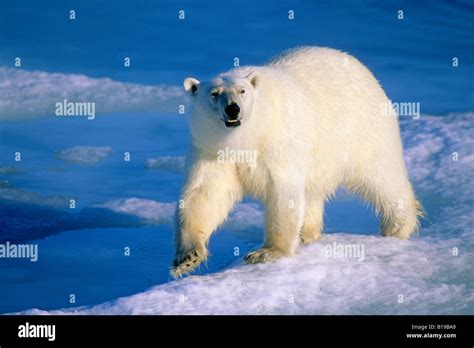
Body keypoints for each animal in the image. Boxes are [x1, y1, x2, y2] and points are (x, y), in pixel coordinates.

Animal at [172, 47, 424, 278]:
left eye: (242, 91)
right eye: (214, 93)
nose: (233, 109)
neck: (246, 138)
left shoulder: (276, 142)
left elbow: (282, 191)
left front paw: (267, 252)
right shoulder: (211, 150)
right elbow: (205, 194)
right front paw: (187, 257)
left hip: (363, 131)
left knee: (382, 177)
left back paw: (398, 227)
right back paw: (306, 234)